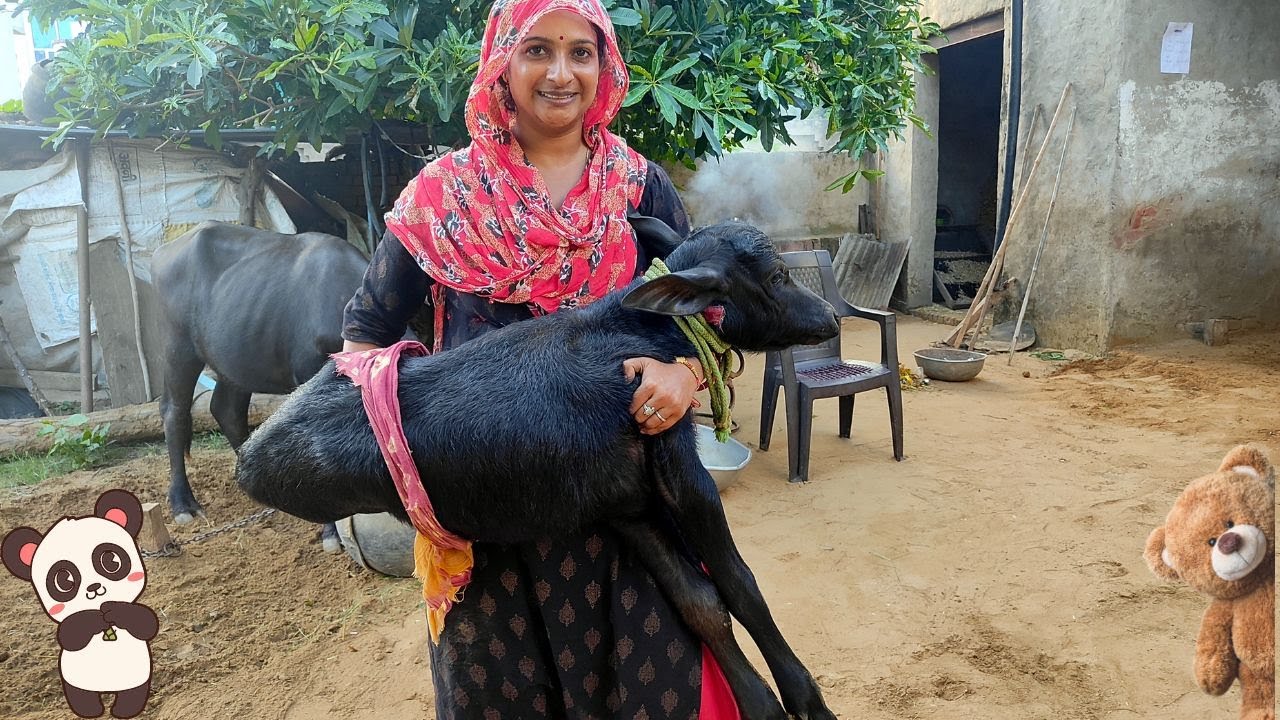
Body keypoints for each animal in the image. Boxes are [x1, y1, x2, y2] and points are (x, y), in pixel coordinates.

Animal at [152, 221, 368, 552]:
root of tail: (164, 251)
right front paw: (331, 532)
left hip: (234, 360)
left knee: (226, 409)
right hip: (178, 348)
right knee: (174, 412)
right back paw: (183, 504)